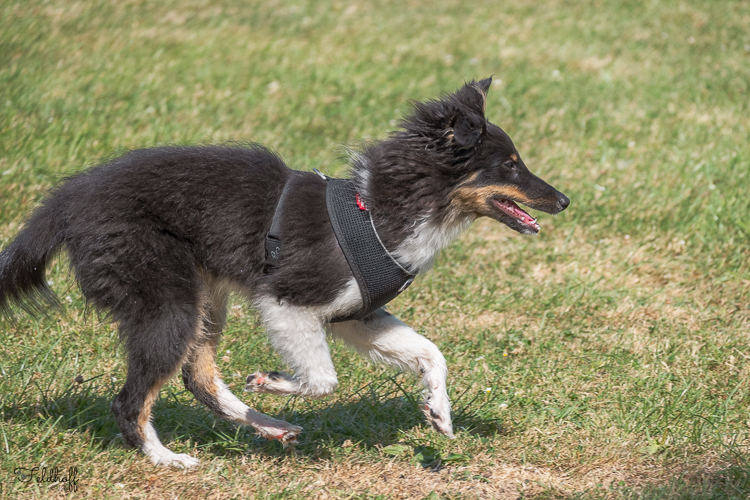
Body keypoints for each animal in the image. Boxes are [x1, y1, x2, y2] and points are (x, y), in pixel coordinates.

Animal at [0, 78, 569, 467]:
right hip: (168, 299)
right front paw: (273, 379)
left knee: (197, 376)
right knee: (130, 400)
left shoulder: (355, 313)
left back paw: (269, 427)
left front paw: (439, 412)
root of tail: (67, 202)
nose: (565, 200)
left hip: (205, 296)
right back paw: (168, 458)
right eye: (510, 165)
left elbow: (431, 352)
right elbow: (323, 378)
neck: (382, 208)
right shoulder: (288, 299)